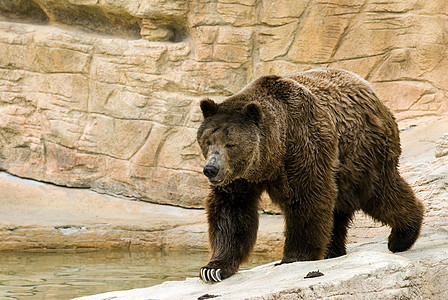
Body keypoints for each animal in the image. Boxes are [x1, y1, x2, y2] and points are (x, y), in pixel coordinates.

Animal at [196, 68, 424, 284]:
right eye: (208, 141)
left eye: (230, 144)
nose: (211, 169)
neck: (273, 155)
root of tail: (371, 91)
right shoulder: (240, 178)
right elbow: (231, 212)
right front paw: (214, 269)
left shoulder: (303, 145)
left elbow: (307, 198)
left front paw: (294, 257)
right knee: (340, 208)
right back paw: (334, 251)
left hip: (361, 151)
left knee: (379, 194)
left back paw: (402, 235)